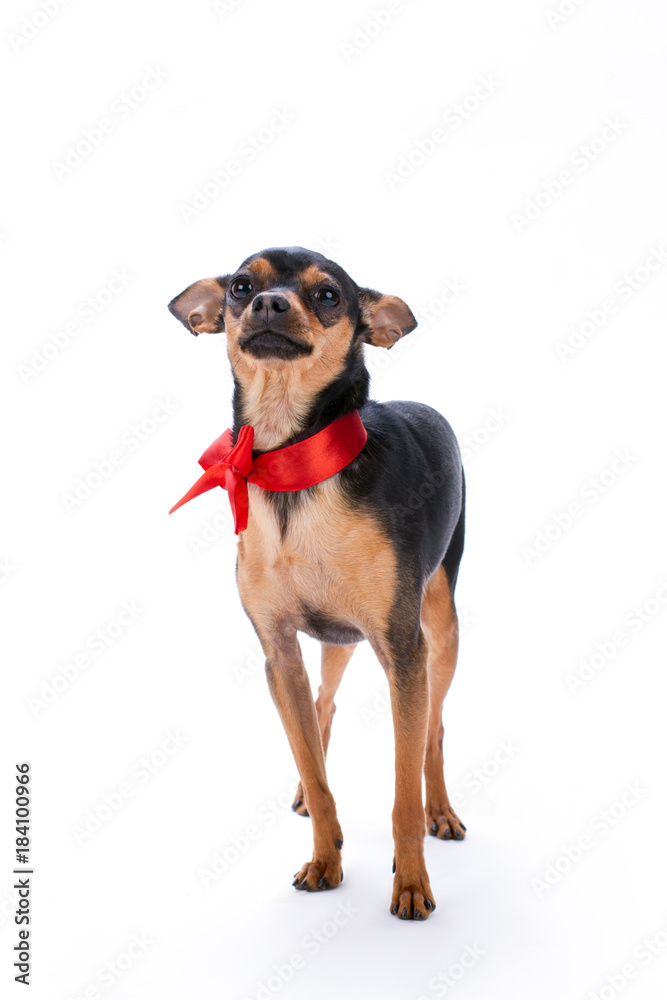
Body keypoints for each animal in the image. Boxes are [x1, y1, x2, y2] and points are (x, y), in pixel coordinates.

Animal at [170, 248, 468, 920]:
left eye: (328, 296)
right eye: (240, 286)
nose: (268, 303)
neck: (294, 465)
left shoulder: (402, 652)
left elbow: (401, 790)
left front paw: (412, 883)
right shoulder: (280, 653)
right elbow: (308, 751)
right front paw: (325, 858)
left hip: (440, 629)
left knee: (433, 729)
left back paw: (440, 809)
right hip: (336, 640)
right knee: (323, 706)